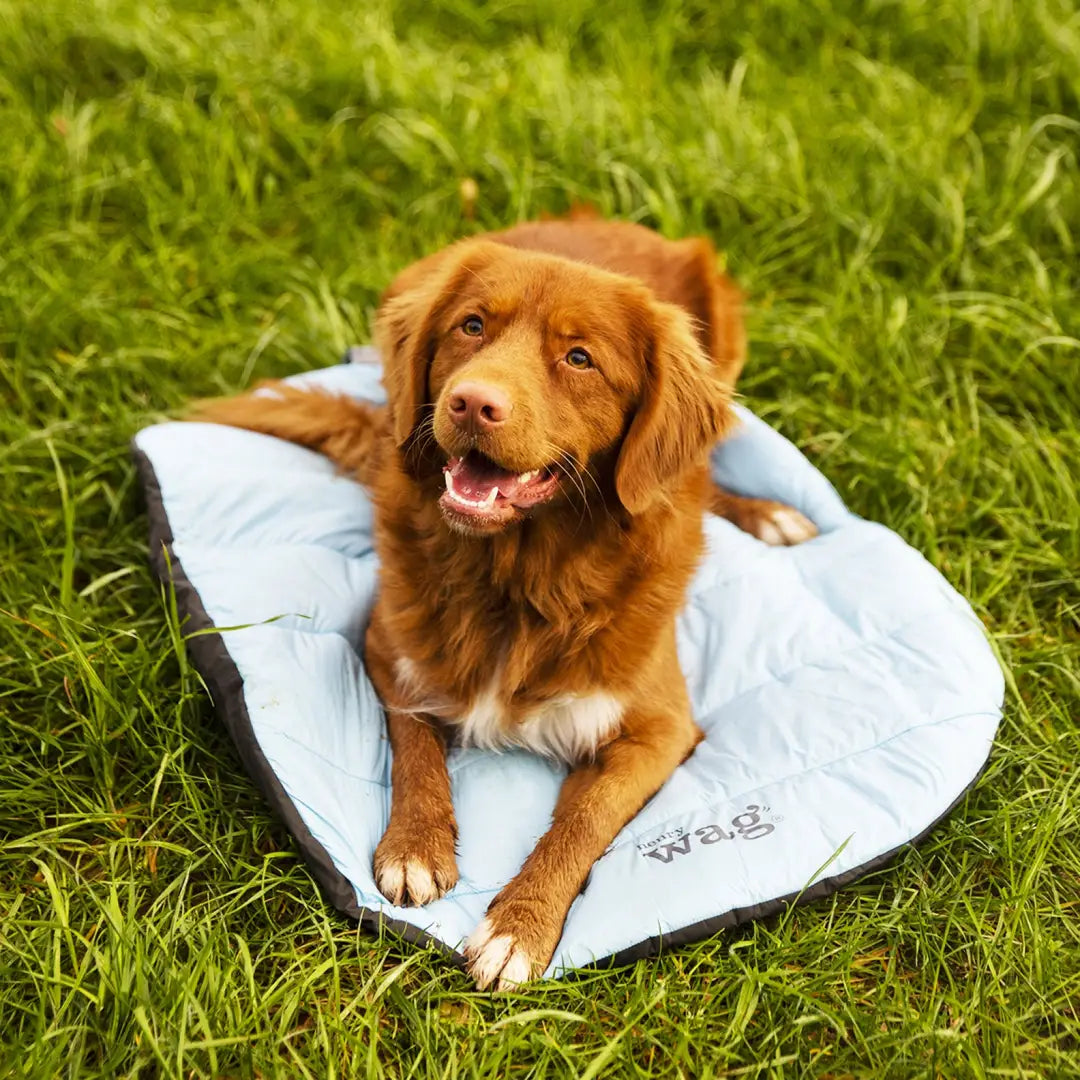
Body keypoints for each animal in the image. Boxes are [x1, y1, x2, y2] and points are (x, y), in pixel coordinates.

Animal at [196, 219, 816, 989]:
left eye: (579, 358)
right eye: (472, 326)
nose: (471, 403)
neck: (518, 576)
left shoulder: (660, 728)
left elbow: (582, 822)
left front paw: (518, 927)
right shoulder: (388, 644)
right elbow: (415, 742)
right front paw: (416, 845)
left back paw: (770, 516)